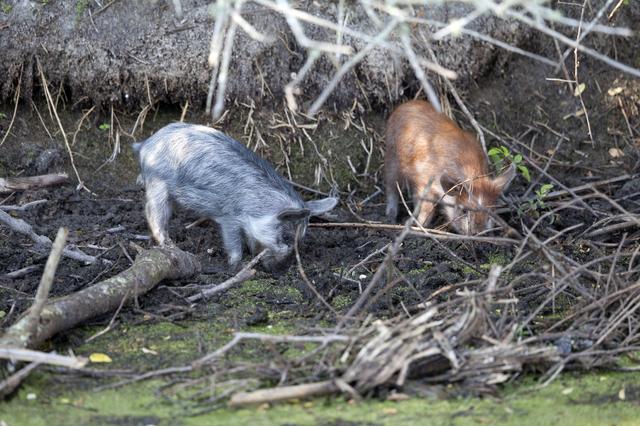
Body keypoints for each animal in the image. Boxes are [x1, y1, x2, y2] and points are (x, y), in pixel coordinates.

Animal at [134, 123, 338, 270]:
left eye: (300, 240)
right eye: (287, 237)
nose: (277, 269)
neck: (258, 205)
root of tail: (146, 143)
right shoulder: (229, 216)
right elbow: (233, 244)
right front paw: (235, 266)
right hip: (157, 184)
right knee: (154, 216)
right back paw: (170, 245)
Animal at [384, 100, 515, 235]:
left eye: (490, 212)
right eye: (464, 210)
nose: (478, 232)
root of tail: (405, 104)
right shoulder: (425, 181)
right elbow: (426, 207)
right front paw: (420, 226)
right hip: (391, 155)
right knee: (391, 186)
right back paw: (391, 217)